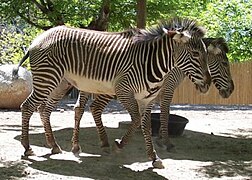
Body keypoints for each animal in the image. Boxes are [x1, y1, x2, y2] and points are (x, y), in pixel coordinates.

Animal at [14, 17, 211, 168]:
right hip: (48, 79)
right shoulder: (124, 91)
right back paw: (27, 147)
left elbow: (146, 126)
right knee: (28, 106)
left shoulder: (147, 100)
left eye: (205, 53)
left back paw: (54, 146)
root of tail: (38, 39)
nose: (208, 83)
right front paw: (119, 144)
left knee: (44, 110)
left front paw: (154, 158)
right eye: (195, 53)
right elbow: (136, 120)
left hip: (61, 84)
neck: (152, 63)